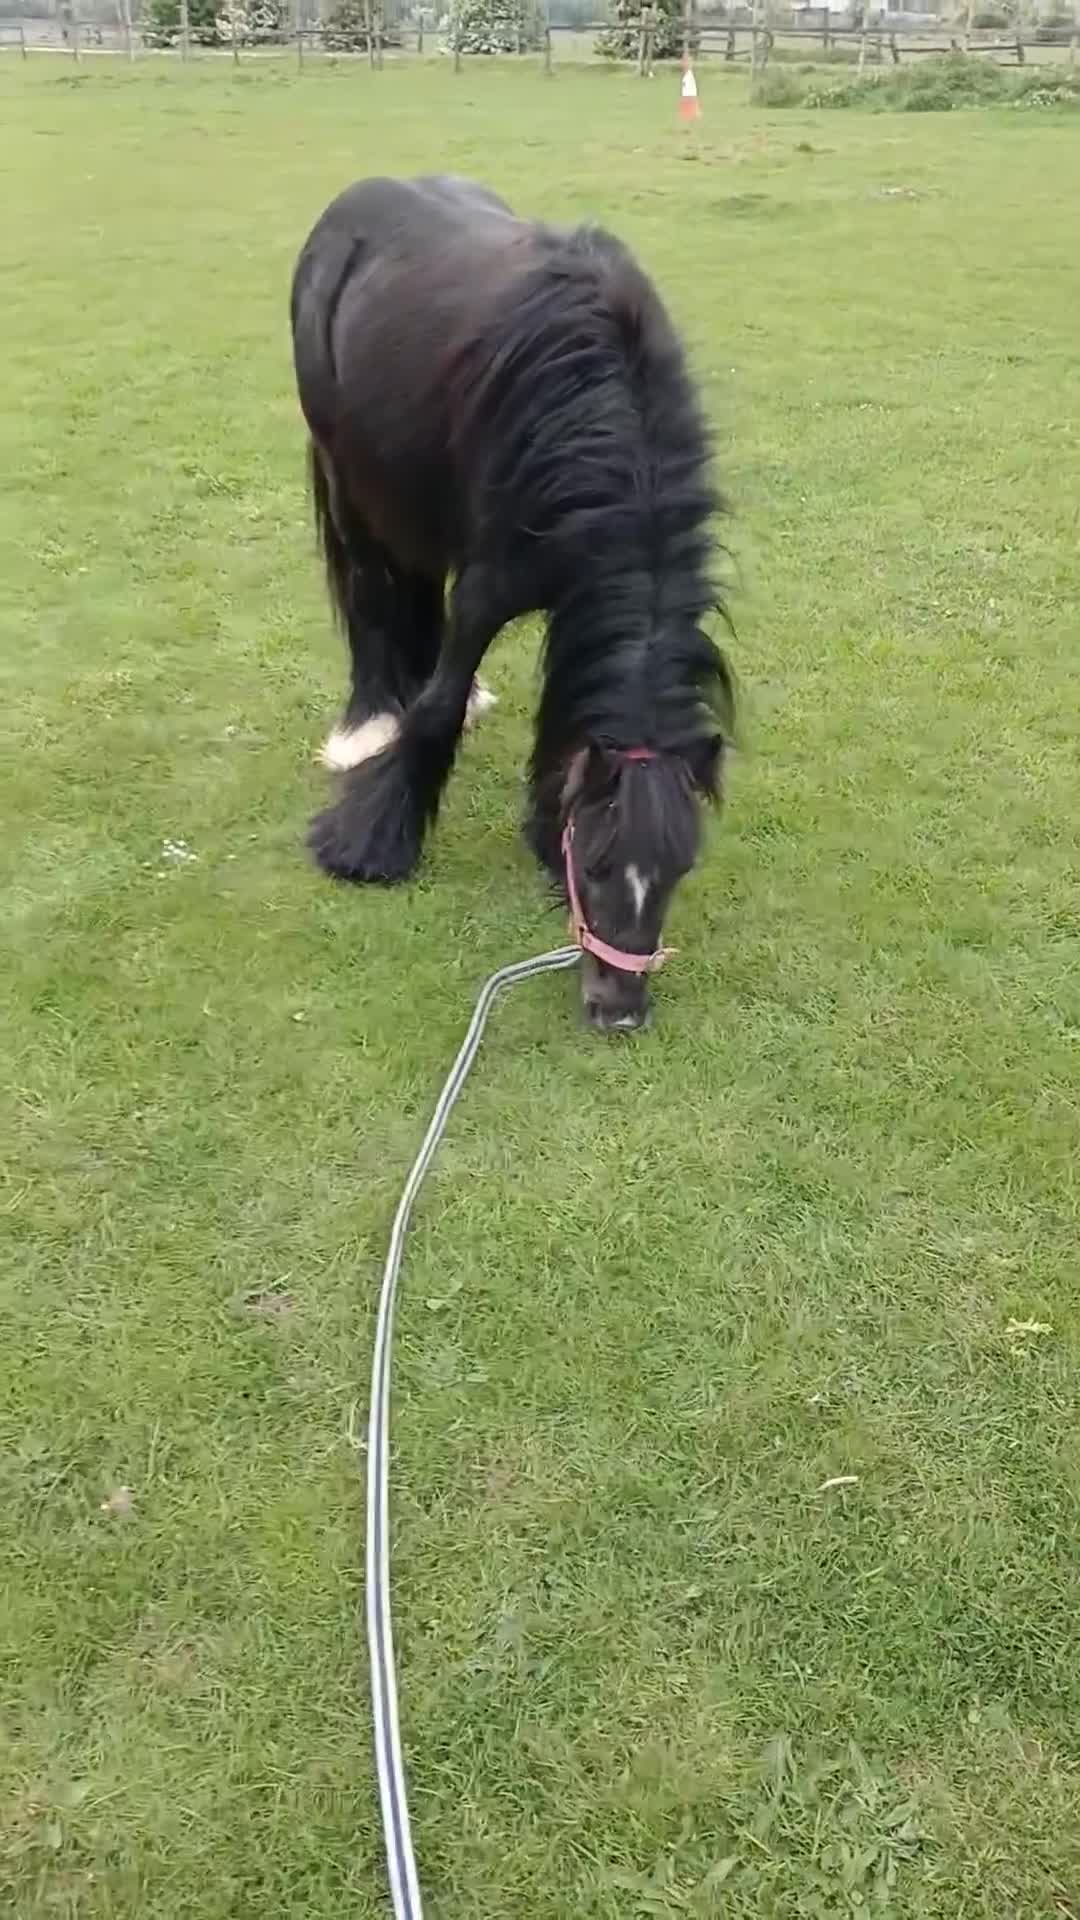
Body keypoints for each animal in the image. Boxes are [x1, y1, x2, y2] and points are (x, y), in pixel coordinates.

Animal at [290, 174, 733, 1032]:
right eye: (597, 864)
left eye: (679, 867)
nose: (619, 1012)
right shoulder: (487, 588)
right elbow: (433, 709)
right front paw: (368, 846)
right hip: (350, 477)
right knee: (370, 598)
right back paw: (369, 725)